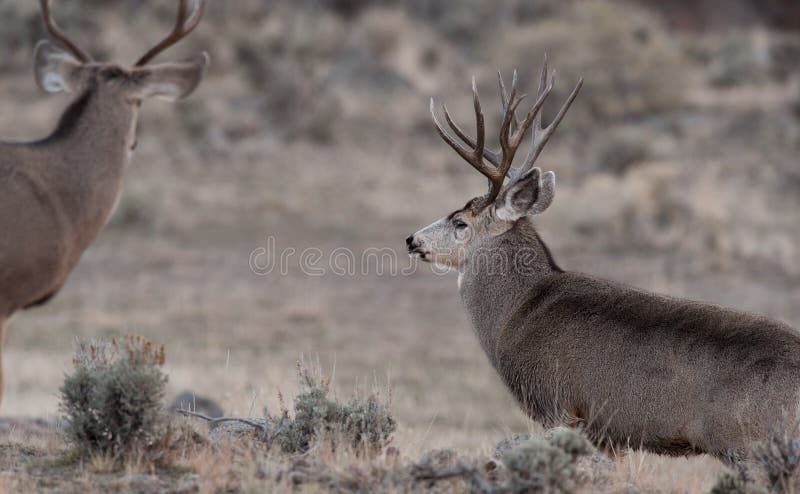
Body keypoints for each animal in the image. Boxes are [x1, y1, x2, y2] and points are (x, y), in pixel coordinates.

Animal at [410, 58, 800, 464]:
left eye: (460, 222)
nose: (412, 240)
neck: (516, 312)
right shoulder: (606, 435)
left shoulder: (557, 405)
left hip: (748, 442)